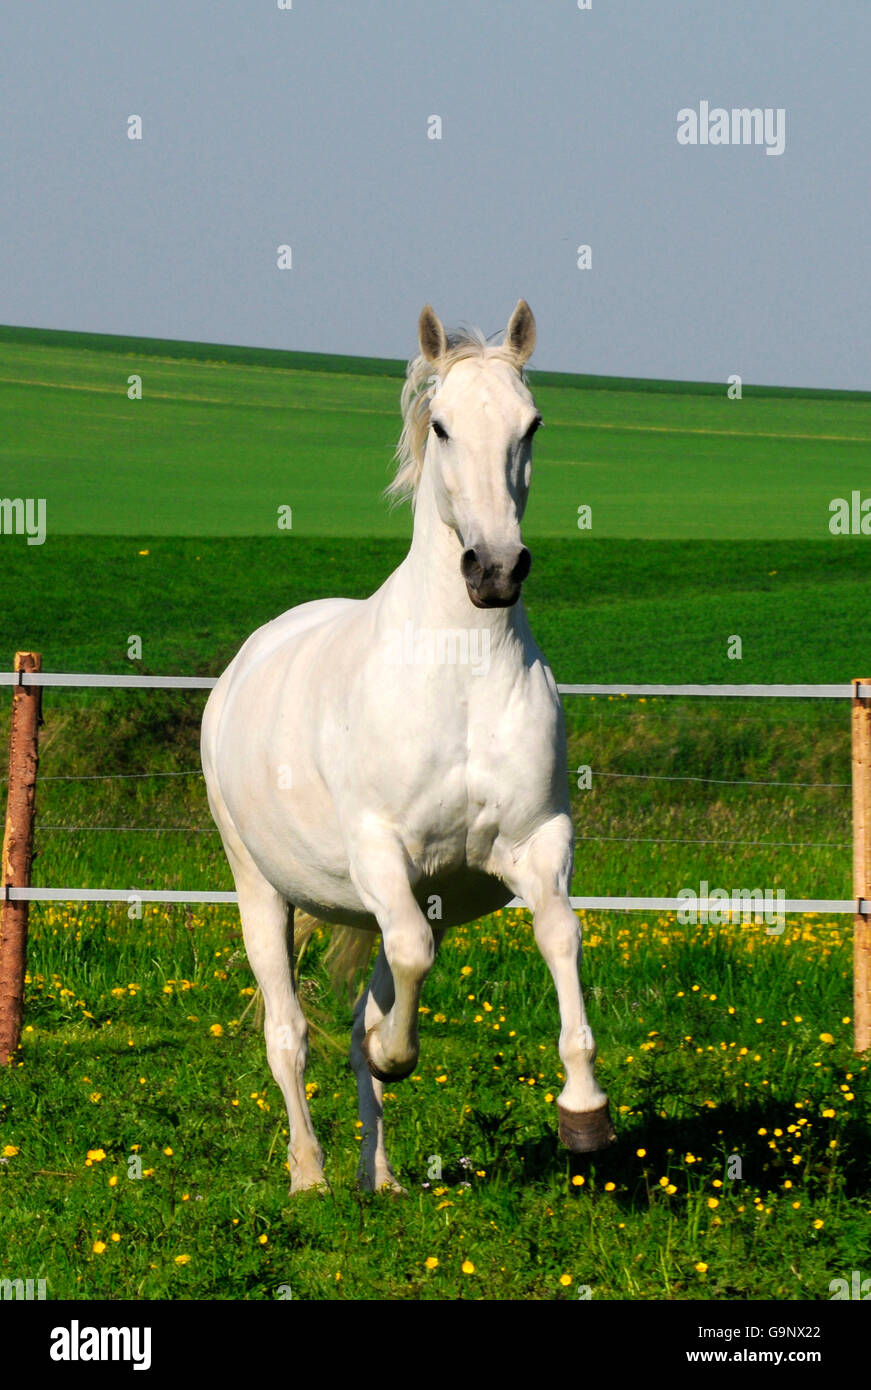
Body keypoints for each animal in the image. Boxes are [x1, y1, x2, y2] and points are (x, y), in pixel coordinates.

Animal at [201, 298, 616, 1189]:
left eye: (532, 424)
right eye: (443, 424)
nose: (494, 571)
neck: (457, 676)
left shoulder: (532, 844)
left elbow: (557, 934)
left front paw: (583, 1110)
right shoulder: (380, 853)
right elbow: (405, 975)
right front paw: (397, 1053)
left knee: (370, 998)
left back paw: (381, 1178)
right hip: (260, 889)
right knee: (287, 1033)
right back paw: (310, 1176)